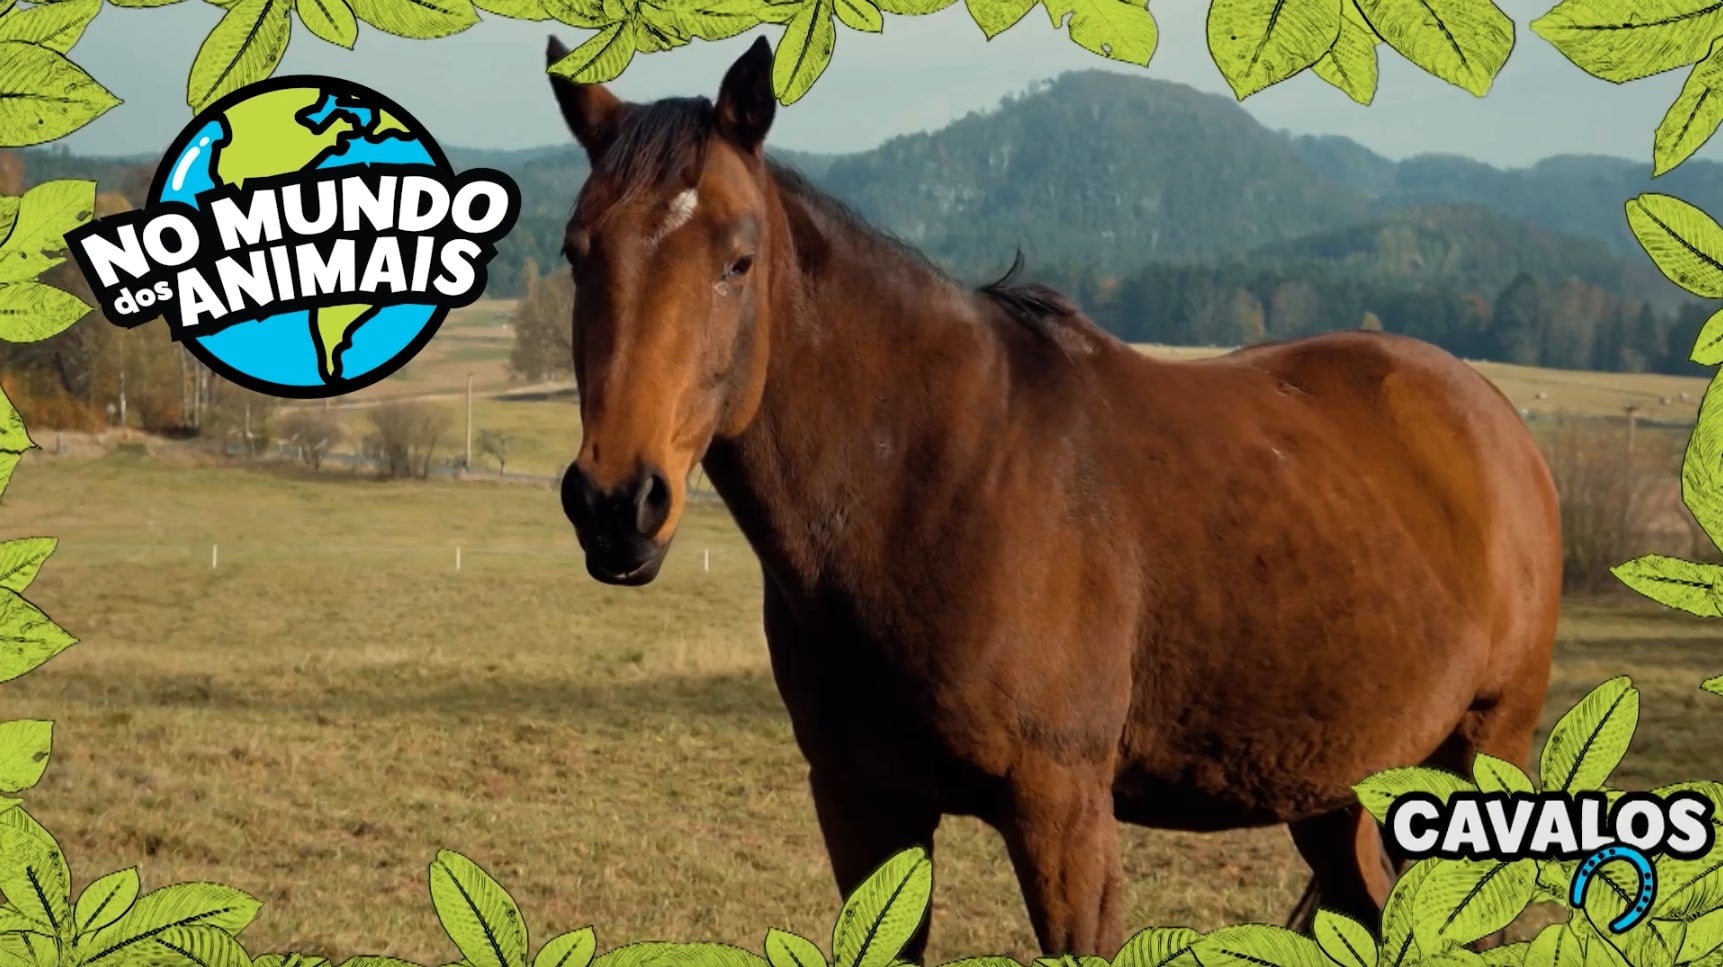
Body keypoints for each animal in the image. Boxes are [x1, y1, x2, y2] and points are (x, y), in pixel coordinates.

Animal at [544, 36, 1562, 961]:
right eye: (576, 252)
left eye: (739, 259)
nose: (615, 503)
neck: (922, 484)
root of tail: (1494, 421)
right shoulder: (862, 805)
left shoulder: (1062, 815)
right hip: (1334, 784)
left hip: (1481, 754)